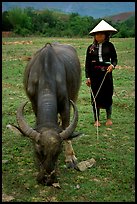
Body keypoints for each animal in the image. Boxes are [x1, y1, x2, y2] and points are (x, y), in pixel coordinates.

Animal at [15, 42, 81, 186]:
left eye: (58, 151)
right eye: (38, 151)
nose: (47, 179)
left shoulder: (65, 104)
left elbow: (66, 125)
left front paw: (70, 157)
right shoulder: (34, 102)